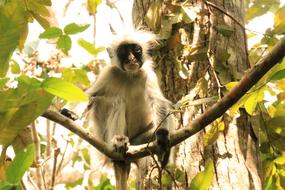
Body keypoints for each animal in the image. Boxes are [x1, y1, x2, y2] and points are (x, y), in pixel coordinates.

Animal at [85, 30, 173, 189]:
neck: (129, 75)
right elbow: (90, 96)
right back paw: (119, 142)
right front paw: (69, 114)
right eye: (123, 51)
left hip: (139, 140)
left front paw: (162, 134)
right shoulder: (108, 72)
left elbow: (159, 103)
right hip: (103, 137)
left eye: (136, 50)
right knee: (116, 102)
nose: (131, 58)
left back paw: (163, 156)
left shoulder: (148, 74)